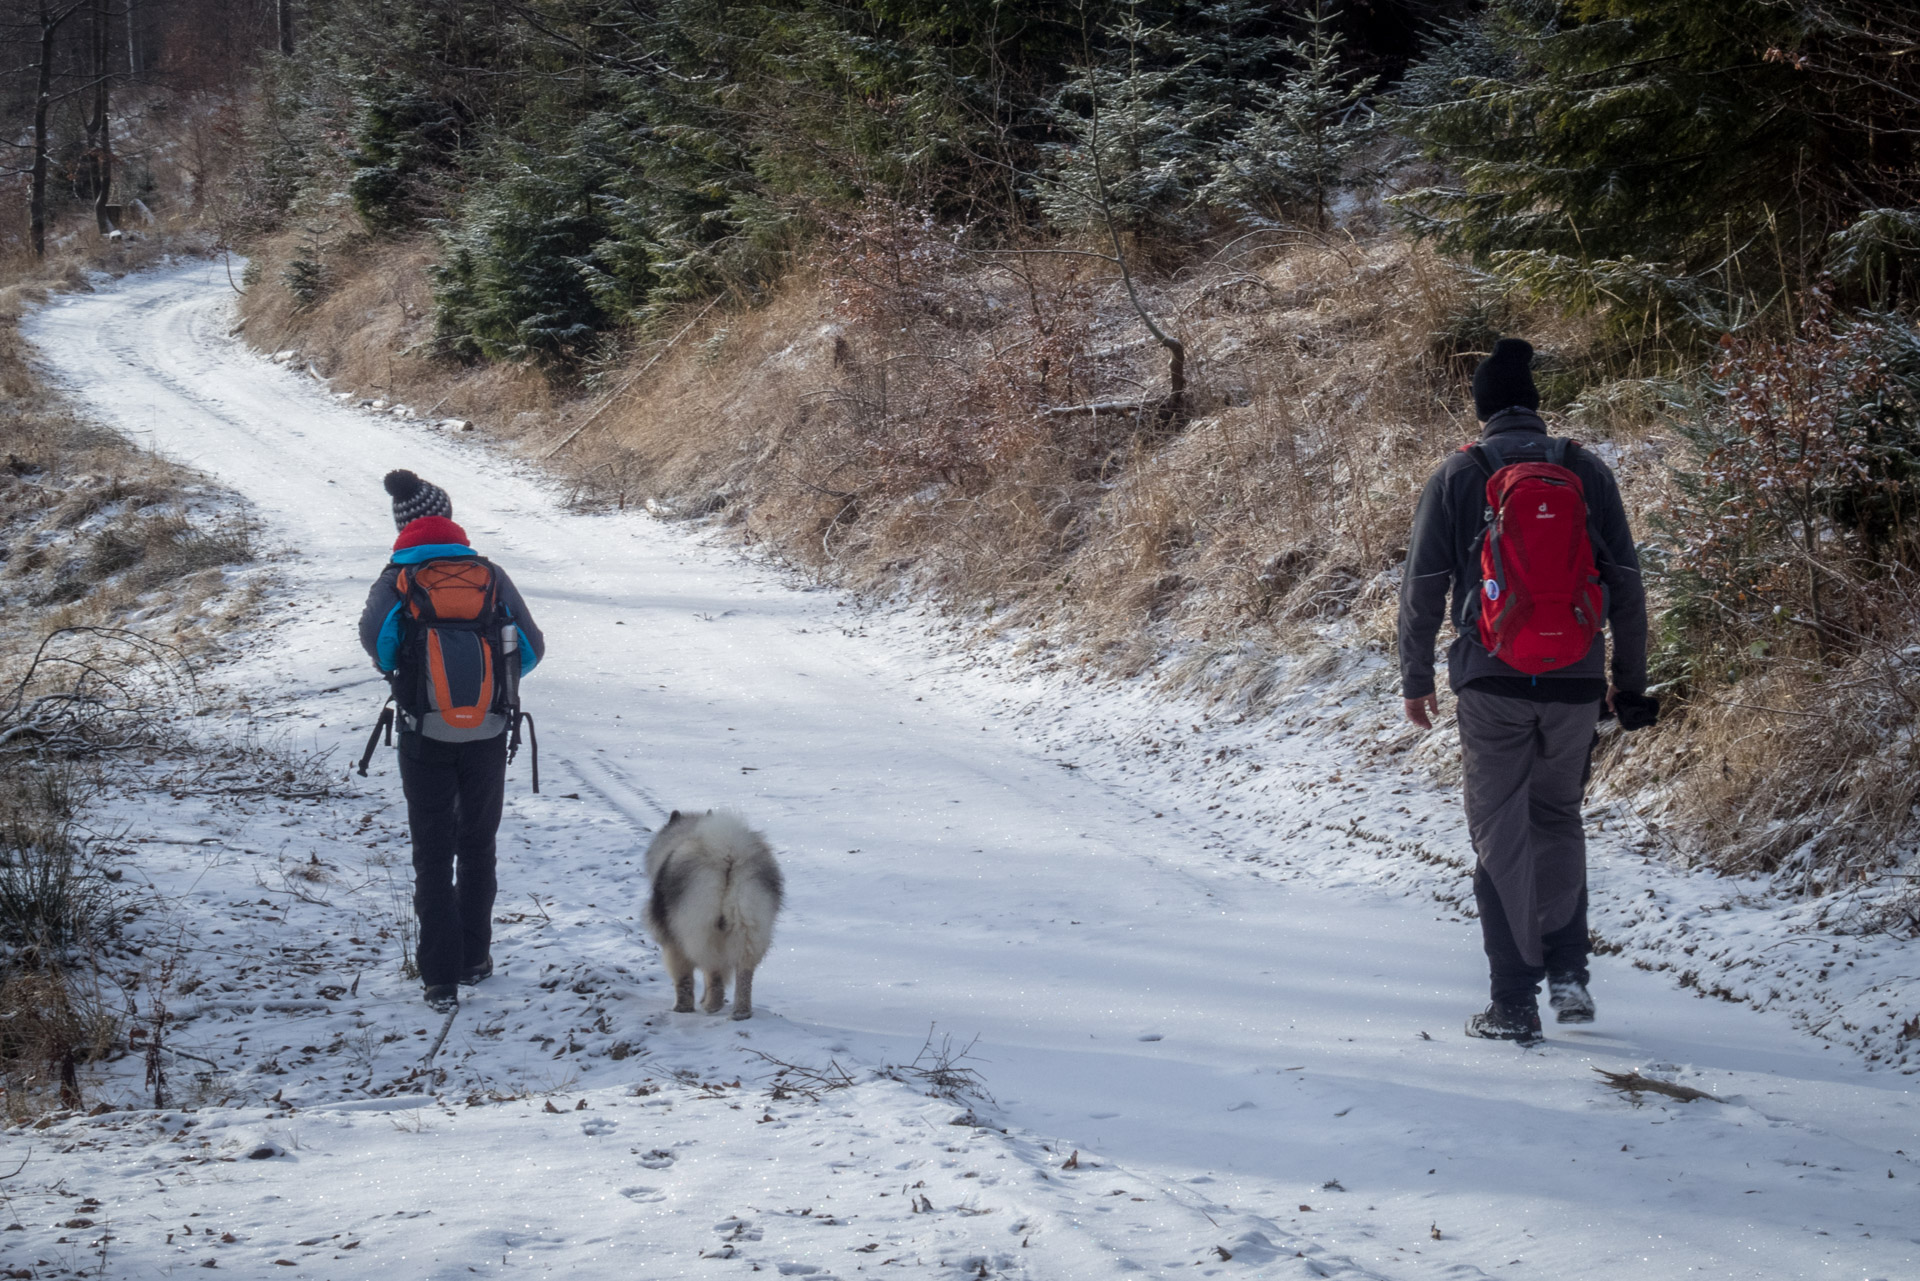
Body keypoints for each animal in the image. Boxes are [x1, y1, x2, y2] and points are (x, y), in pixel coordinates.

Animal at [641, 810, 783, 1021]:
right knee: (743, 973)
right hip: (748, 924)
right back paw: (740, 1012)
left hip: (700, 928)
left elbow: (683, 977)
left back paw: (712, 1006)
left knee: (712, 970)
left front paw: (683, 1008)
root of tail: (728, 854)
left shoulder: (673, 941)